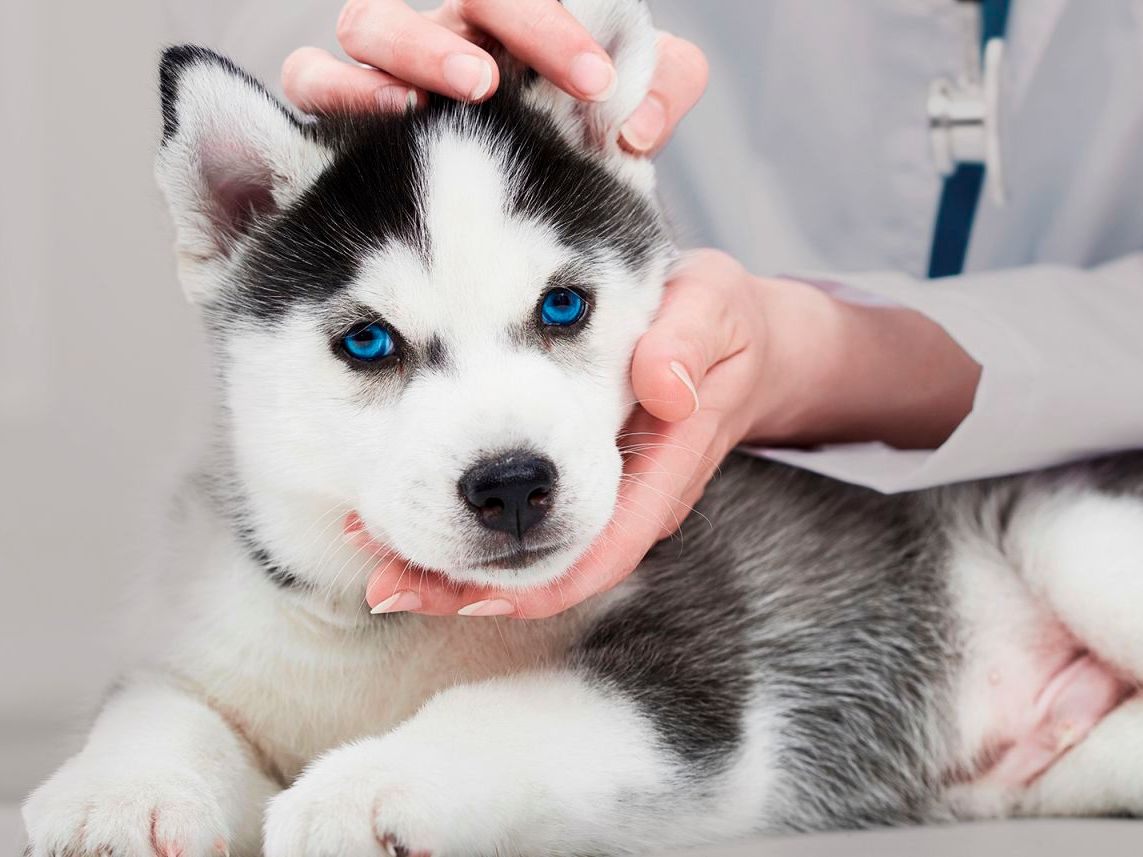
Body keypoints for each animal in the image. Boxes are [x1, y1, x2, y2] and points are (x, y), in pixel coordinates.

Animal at [15, 1, 1143, 857]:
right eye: (368, 341)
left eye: (563, 306)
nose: (514, 482)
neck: (394, 635)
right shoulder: (214, 629)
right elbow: (159, 704)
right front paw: (115, 791)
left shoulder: (692, 677)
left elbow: (504, 711)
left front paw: (363, 784)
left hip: (1071, 532)